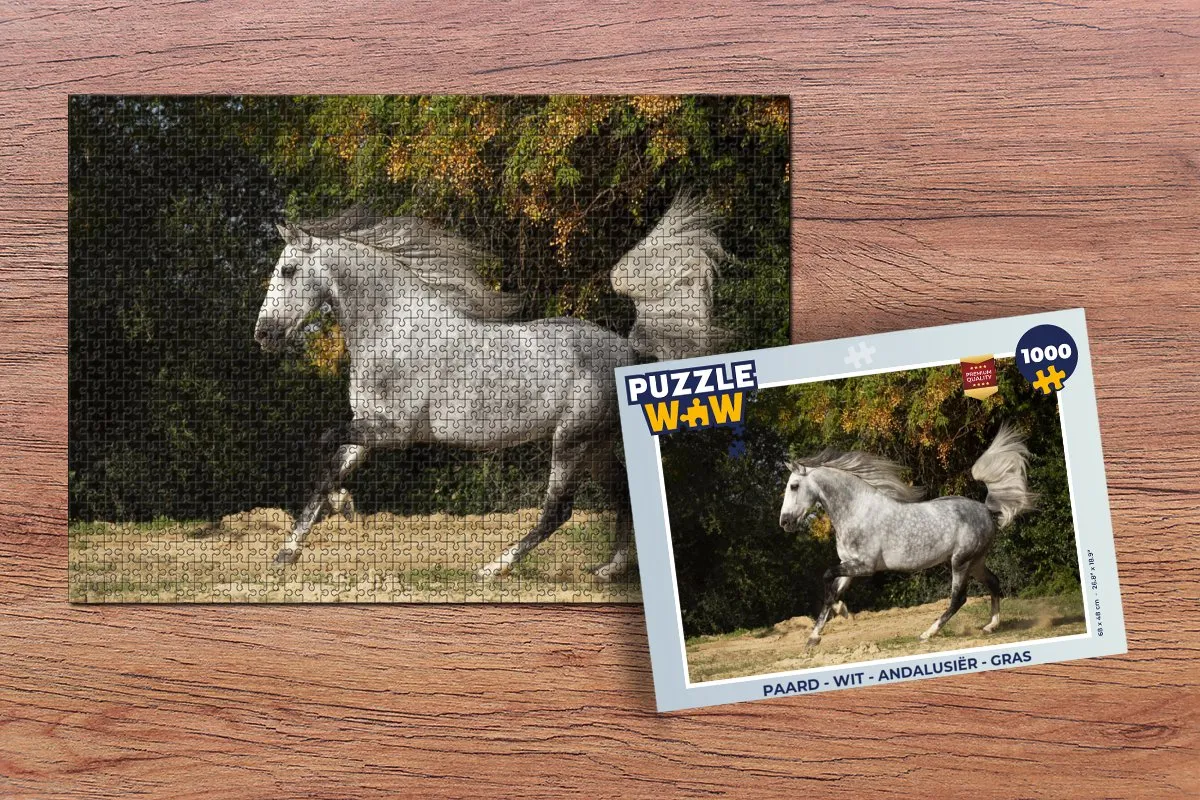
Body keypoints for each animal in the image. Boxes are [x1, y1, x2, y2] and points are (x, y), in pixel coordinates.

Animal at [254, 193, 726, 580]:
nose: (263, 334)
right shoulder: (368, 428)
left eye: (288, 270)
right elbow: (328, 469)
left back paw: (493, 568)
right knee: (622, 494)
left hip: (570, 441)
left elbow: (323, 448)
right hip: (594, 445)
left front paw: (343, 505)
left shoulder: (393, 431)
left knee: (557, 511)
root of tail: (628, 350)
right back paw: (609, 570)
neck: (392, 328)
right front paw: (286, 553)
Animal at [778, 425, 1036, 644]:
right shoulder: (849, 564)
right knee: (993, 582)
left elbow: (827, 578)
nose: (785, 522)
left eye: (794, 486)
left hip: (961, 561)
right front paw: (814, 637)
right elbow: (833, 592)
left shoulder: (864, 566)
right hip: (976, 562)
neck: (857, 510)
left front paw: (840, 613)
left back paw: (928, 633)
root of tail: (986, 510)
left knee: (958, 598)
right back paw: (990, 626)